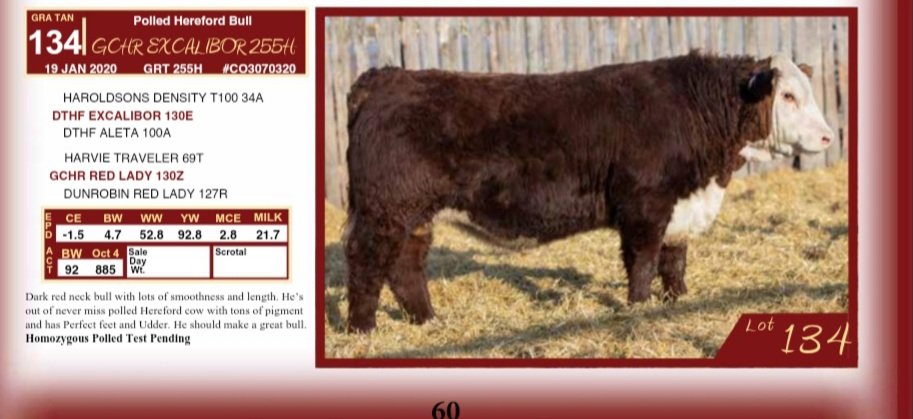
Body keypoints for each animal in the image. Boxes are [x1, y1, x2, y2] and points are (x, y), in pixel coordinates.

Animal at [341, 51, 835, 333]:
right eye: (788, 96)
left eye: (807, 90)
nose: (829, 137)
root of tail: (387, 77)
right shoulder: (644, 205)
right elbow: (643, 263)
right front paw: (638, 310)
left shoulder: (679, 207)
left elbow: (674, 261)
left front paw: (677, 302)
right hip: (385, 210)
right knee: (367, 261)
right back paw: (363, 330)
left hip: (413, 216)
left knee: (405, 267)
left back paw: (427, 321)